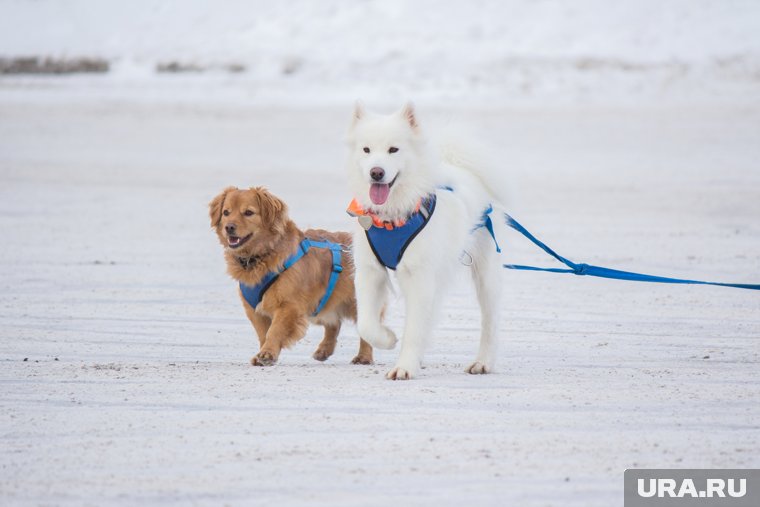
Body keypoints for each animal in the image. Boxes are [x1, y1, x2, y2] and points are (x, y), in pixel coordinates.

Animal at [209, 186, 372, 366]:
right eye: (226, 212)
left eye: (248, 213)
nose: (229, 227)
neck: (261, 256)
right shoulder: (254, 310)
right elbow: (263, 333)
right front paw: (263, 353)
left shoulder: (289, 306)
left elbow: (275, 330)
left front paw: (267, 353)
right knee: (334, 324)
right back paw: (324, 350)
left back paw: (364, 357)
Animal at [348, 104, 508, 380]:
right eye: (366, 150)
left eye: (393, 149)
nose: (376, 172)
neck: (393, 216)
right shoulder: (369, 271)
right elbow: (367, 323)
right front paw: (388, 338)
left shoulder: (419, 277)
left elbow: (413, 329)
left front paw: (404, 367)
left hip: (485, 272)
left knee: (491, 321)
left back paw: (482, 362)